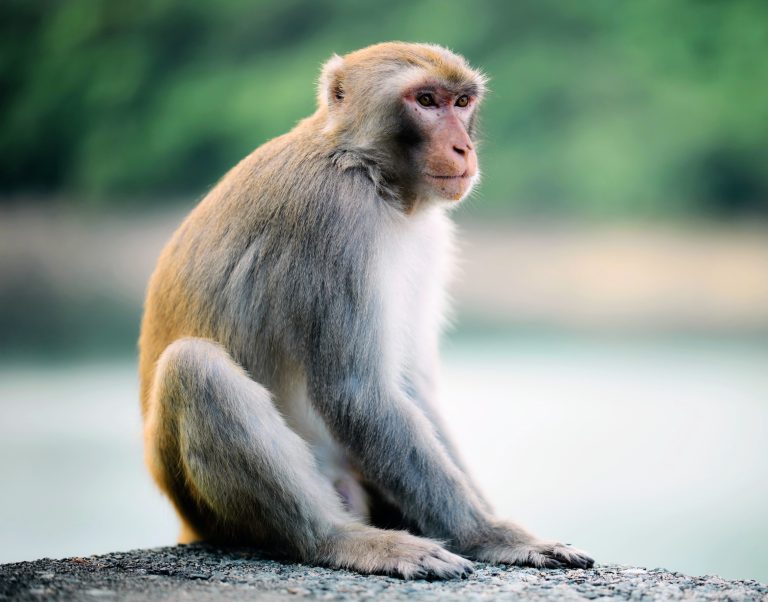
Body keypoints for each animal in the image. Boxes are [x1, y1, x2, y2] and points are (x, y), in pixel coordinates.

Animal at [138, 42, 594, 579]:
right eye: (426, 100)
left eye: (461, 102)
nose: (463, 148)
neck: (364, 167)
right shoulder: (336, 216)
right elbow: (356, 393)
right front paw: (489, 535)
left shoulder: (427, 235)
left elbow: (410, 385)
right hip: (205, 506)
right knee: (195, 367)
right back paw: (338, 540)